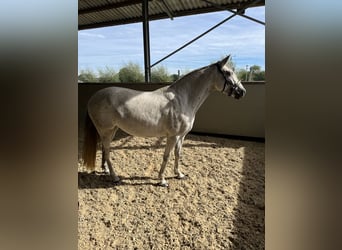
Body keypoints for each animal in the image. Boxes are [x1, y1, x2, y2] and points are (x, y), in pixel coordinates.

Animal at [81, 55, 244, 187]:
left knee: (104, 149)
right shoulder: (172, 136)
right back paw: (114, 177)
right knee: (107, 151)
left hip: (111, 130)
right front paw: (162, 180)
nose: (242, 92)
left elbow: (178, 154)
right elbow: (167, 156)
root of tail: (93, 97)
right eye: (228, 72)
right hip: (106, 131)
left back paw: (106, 170)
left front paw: (179, 174)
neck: (182, 99)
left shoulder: (181, 136)